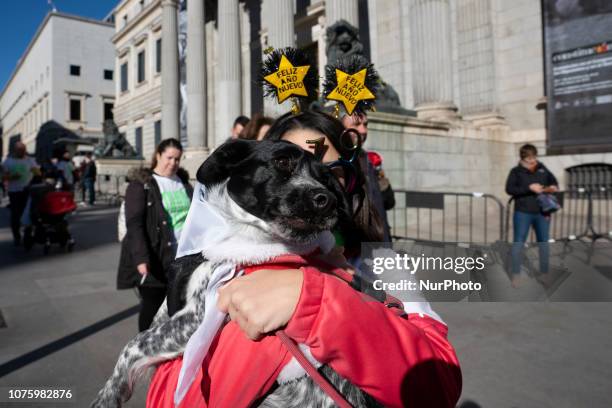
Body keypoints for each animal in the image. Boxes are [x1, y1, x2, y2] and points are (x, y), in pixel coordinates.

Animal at [91, 140, 380, 408]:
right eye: (282, 161)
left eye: (325, 179)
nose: (327, 200)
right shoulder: (174, 309)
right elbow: (149, 327)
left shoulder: (199, 316)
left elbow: (133, 344)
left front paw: (108, 396)